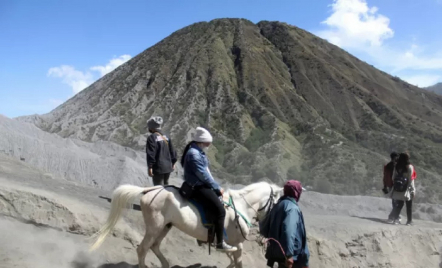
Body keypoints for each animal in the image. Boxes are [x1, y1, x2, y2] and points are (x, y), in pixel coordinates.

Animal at [90, 181, 284, 266]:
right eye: (277, 201)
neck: (241, 207)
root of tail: (149, 190)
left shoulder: (234, 245)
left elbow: (233, 260)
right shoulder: (237, 244)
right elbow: (238, 262)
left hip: (165, 226)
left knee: (154, 246)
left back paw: (166, 265)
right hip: (155, 227)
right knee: (143, 249)